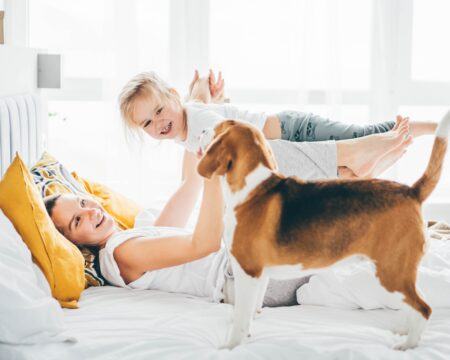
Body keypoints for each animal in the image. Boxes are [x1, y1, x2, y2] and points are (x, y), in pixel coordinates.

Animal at [199, 112, 450, 348]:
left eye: (219, 127)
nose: (201, 130)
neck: (254, 188)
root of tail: (411, 191)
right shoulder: (260, 275)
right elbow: (251, 312)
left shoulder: (247, 271)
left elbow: (241, 316)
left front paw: (231, 346)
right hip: (399, 273)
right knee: (416, 303)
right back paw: (405, 331)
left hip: (390, 274)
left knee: (424, 308)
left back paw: (408, 344)